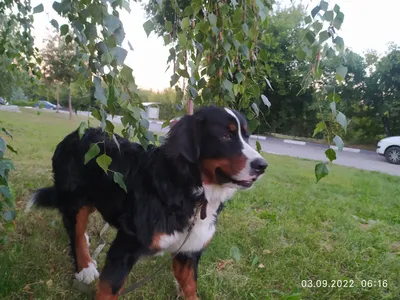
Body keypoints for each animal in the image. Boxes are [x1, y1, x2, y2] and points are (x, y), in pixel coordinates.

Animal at [26, 105, 268, 300]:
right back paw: (84, 266)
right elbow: (109, 289)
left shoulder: (188, 251)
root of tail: (75, 134)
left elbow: (190, 286)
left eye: (247, 136)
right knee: (74, 231)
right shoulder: (125, 247)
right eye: (226, 136)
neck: (191, 191)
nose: (262, 166)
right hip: (75, 199)